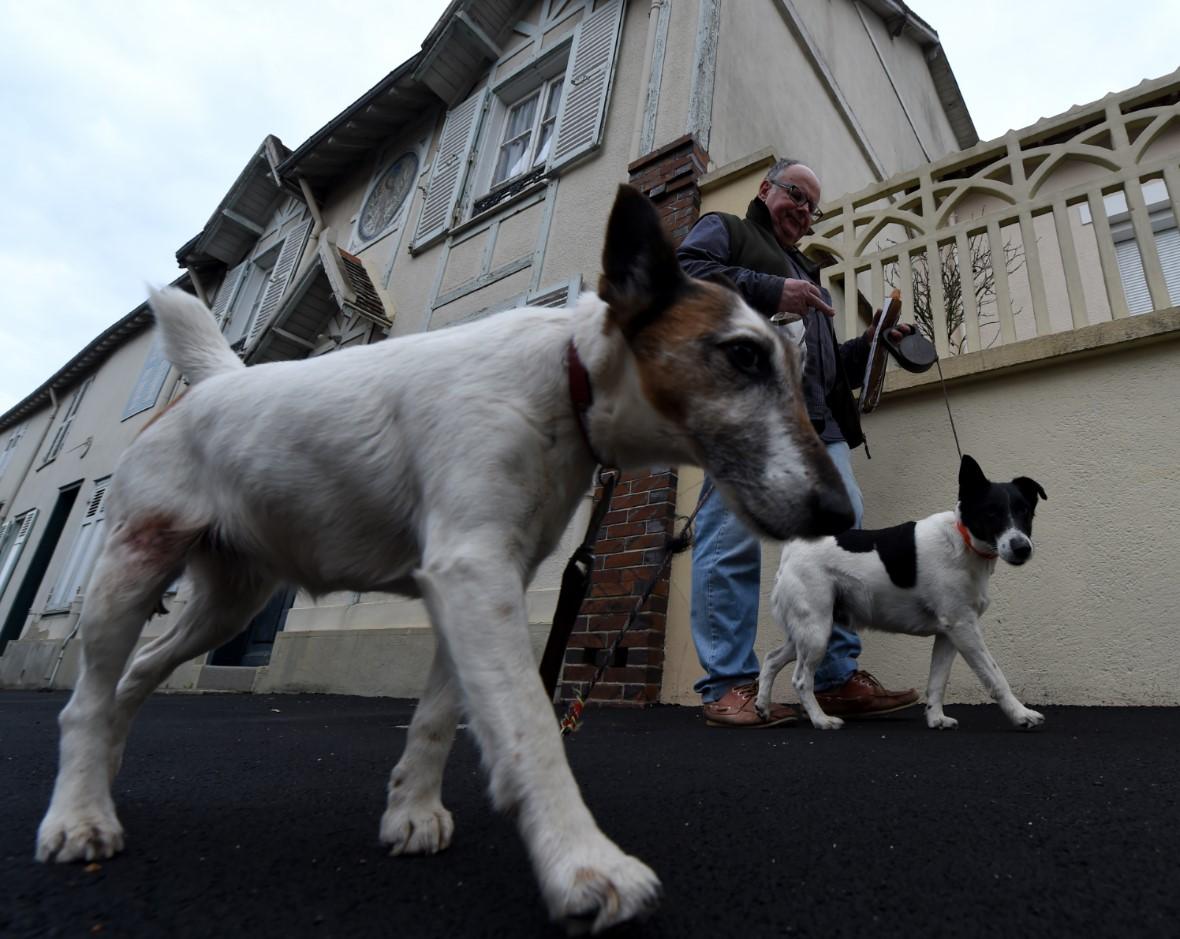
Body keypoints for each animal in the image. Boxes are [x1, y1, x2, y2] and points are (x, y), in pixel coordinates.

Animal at [34, 185, 849, 929]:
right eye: (741, 355)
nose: (841, 514)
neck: (565, 379)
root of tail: (210, 385)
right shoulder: (473, 574)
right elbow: (529, 729)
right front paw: (582, 860)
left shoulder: (484, 583)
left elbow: (434, 719)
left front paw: (411, 811)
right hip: (131, 569)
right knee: (85, 698)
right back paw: (78, 813)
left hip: (229, 601)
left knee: (135, 674)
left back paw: (103, 775)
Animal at [759, 455, 1047, 731]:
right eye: (991, 513)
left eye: (1024, 511)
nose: (1022, 548)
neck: (963, 541)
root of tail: (793, 548)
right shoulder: (963, 626)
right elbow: (995, 675)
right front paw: (1022, 715)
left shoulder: (949, 633)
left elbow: (937, 681)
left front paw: (936, 719)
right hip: (816, 631)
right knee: (800, 679)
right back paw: (821, 720)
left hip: (809, 630)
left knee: (771, 659)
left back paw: (763, 708)